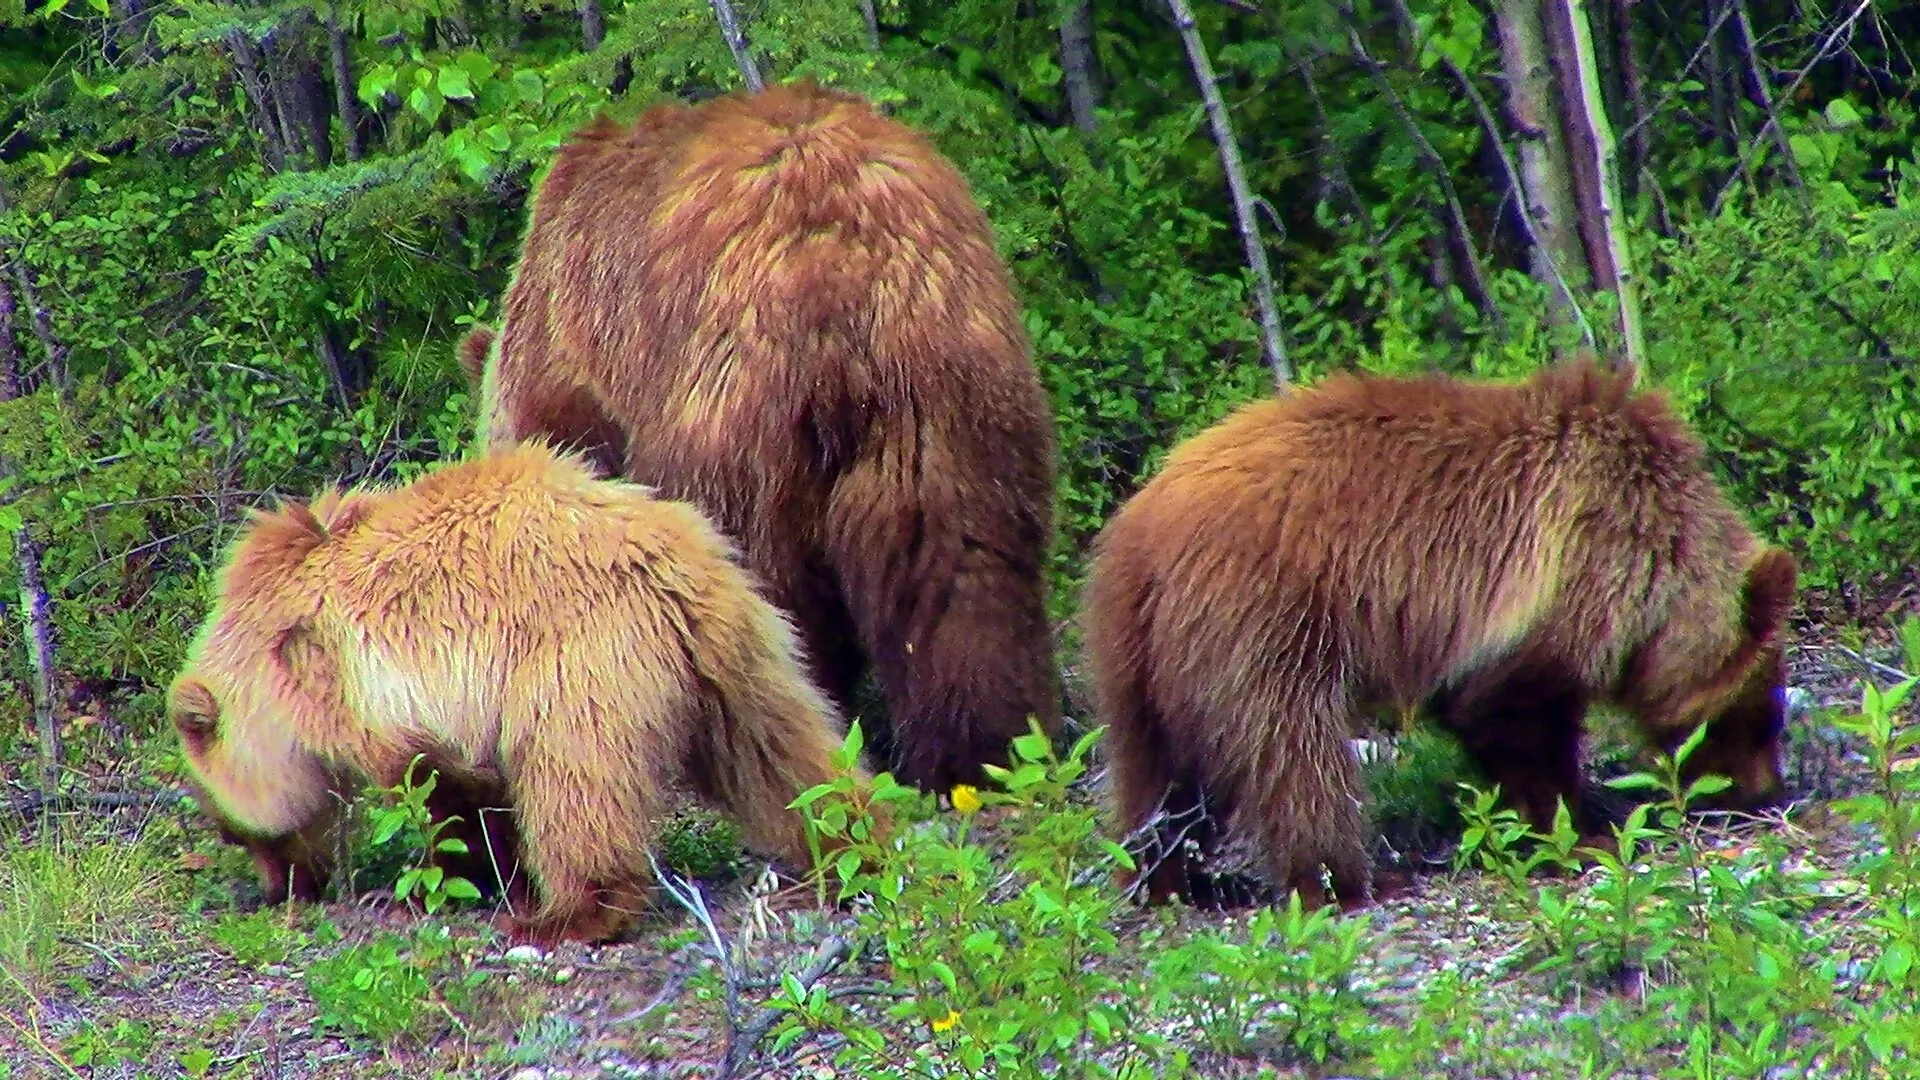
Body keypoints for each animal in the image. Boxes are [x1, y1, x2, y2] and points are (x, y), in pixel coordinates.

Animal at [168, 440, 868, 945]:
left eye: (233, 831)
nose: (281, 890)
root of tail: (669, 562)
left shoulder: (364, 686)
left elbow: (440, 790)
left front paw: (446, 883)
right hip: (742, 650)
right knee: (782, 753)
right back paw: (857, 844)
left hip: (581, 662)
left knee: (575, 783)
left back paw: (570, 916)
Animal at [462, 78, 1062, 794]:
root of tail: (839, 248)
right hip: (948, 379)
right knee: (961, 565)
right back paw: (985, 755)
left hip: (734, 394)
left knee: (759, 573)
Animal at [1080, 359, 1797, 911]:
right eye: (1760, 713)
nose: (1767, 793)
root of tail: (1142, 530)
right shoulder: (1551, 581)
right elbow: (1519, 723)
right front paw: (1576, 833)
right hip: (1265, 615)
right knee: (1292, 748)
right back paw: (1343, 878)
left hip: (1139, 653)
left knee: (1155, 770)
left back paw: (1165, 878)